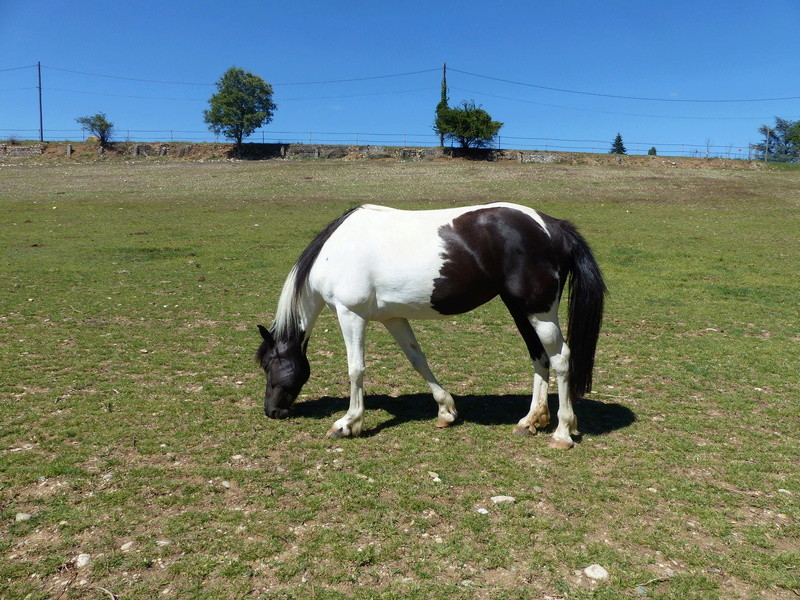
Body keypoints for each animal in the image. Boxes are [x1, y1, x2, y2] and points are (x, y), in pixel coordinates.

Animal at [256, 204, 608, 448]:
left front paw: (348, 423)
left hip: (540, 312)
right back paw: (531, 420)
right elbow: (417, 359)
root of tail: (554, 226)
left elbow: (356, 369)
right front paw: (446, 411)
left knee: (561, 358)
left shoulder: (350, 315)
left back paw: (562, 432)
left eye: (268, 364)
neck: (337, 251)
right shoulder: (393, 318)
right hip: (520, 309)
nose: (271, 411)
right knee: (539, 356)